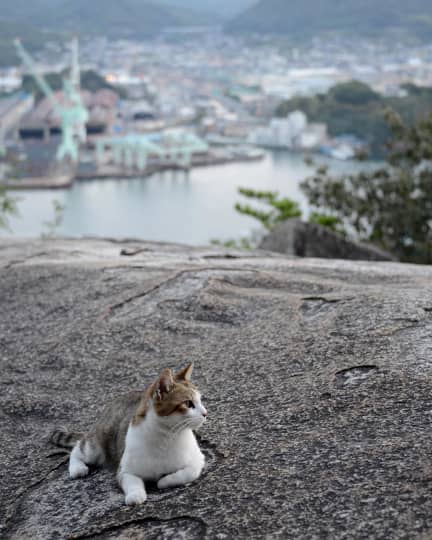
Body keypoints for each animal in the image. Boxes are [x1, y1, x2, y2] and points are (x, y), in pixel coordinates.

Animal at [50, 362, 206, 506]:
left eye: (200, 400)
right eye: (188, 403)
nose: (205, 413)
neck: (166, 436)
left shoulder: (198, 459)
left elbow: (188, 472)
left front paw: (164, 480)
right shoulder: (125, 470)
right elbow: (133, 482)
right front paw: (135, 495)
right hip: (96, 447)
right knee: (78, 448)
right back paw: (77, 468)